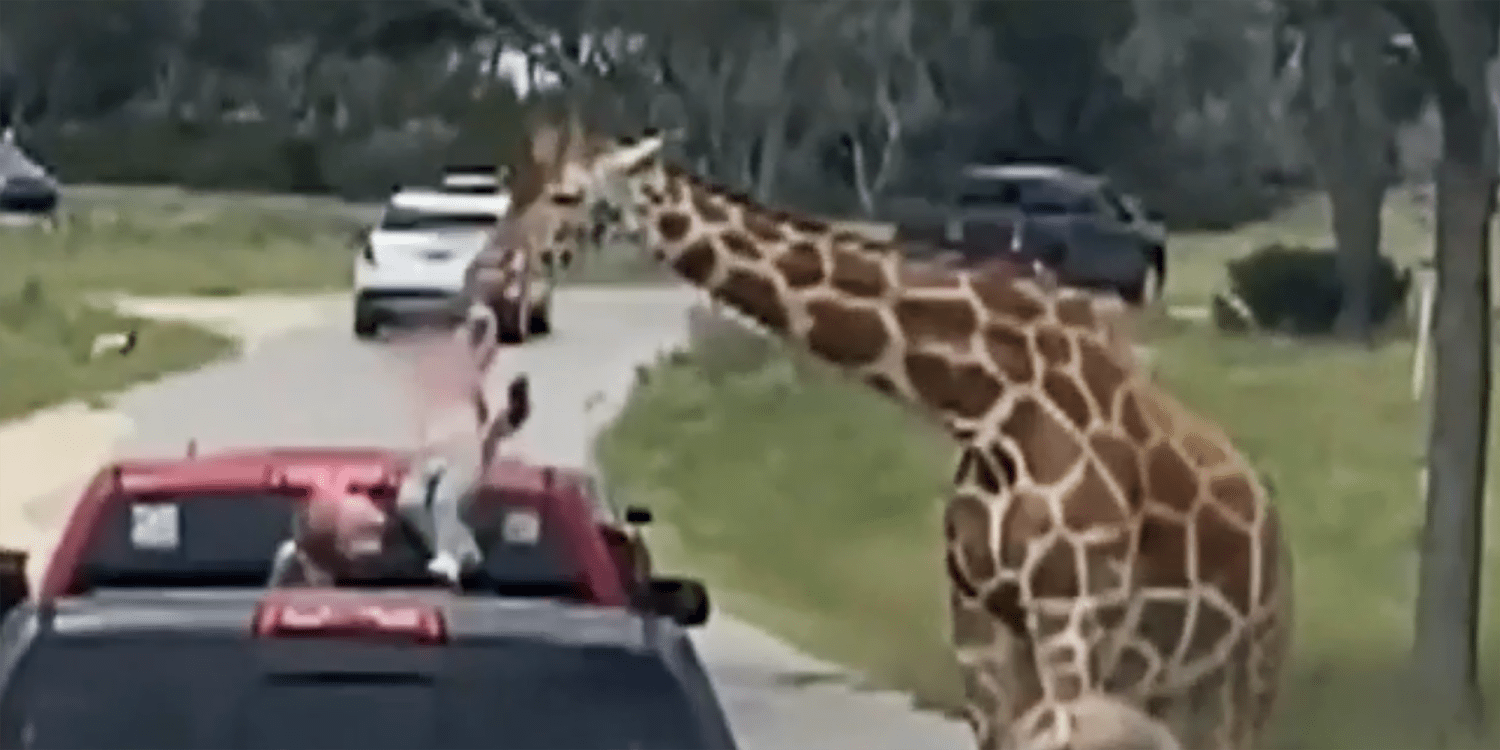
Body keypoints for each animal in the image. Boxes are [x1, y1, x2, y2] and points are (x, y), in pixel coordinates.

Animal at [501, 115, 1290, 750]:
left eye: (567, 196)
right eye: (520, 184)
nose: (502, 265)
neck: (992, 403)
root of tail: (1270, 518)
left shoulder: (1073, 614)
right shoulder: (980, 621)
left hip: (1245, 666)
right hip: (1169, 680)